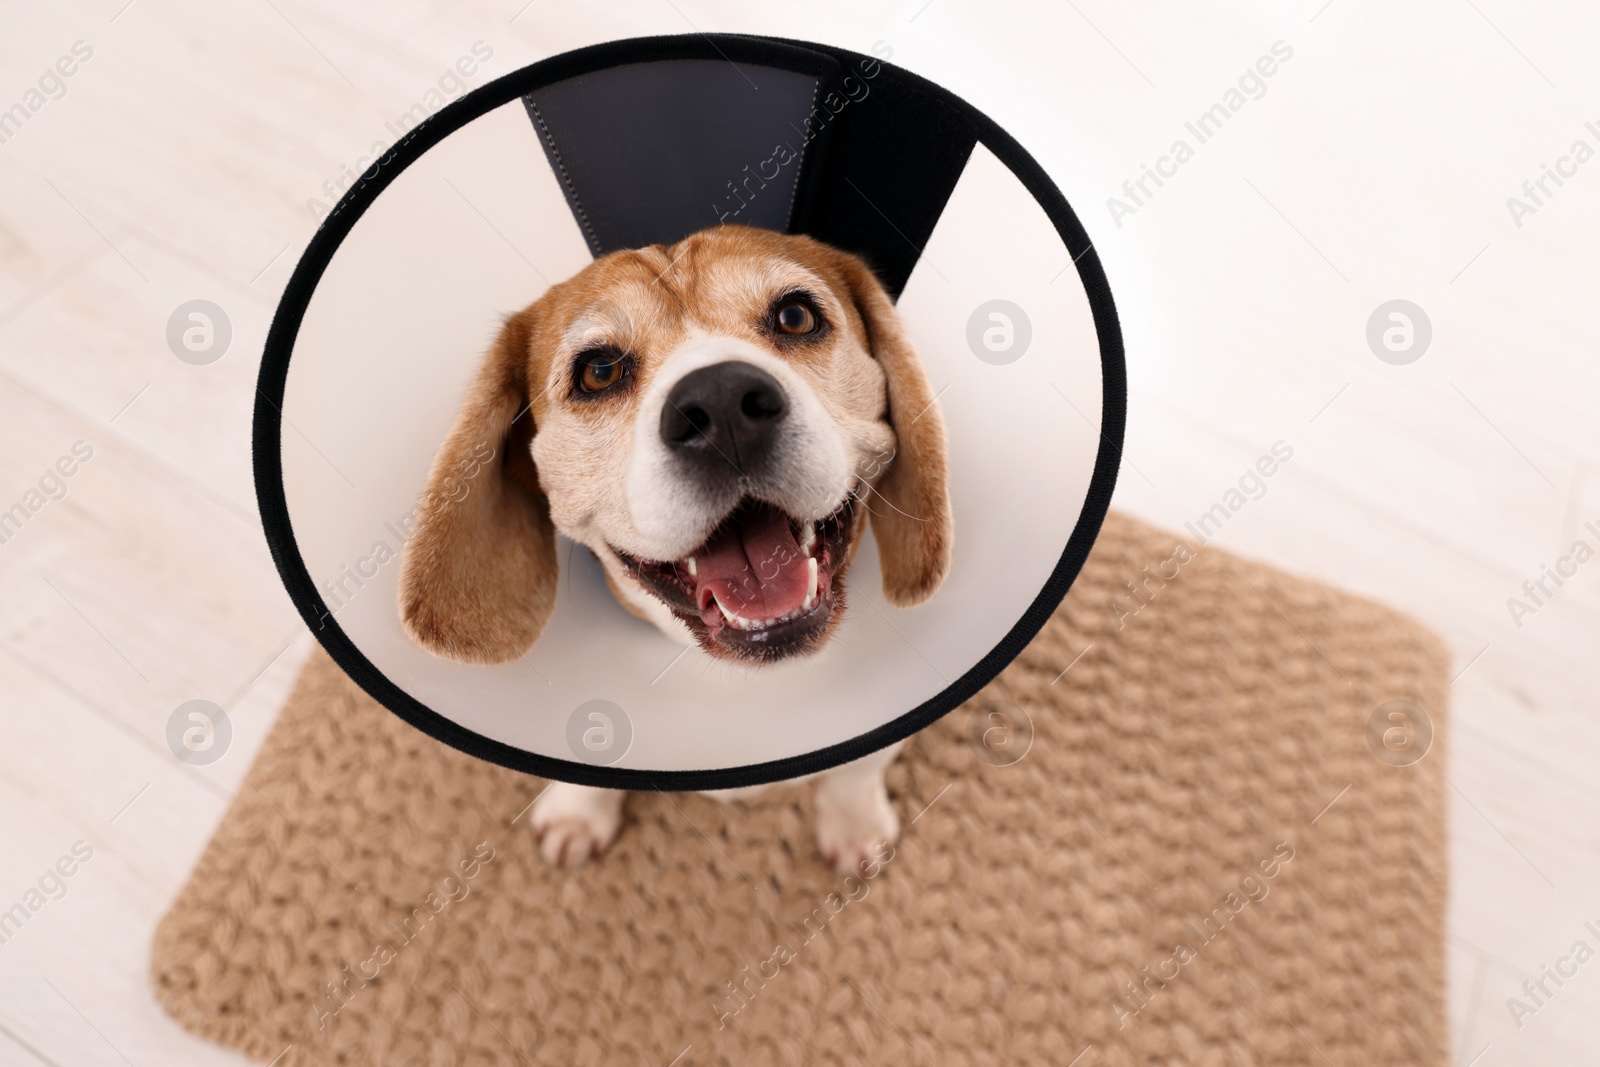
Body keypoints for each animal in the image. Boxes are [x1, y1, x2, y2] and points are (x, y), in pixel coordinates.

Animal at [400, 225, 947, 876]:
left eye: (795, 316)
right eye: (599, 371)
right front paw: (578, 812)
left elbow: (858, 767)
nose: (722, 402)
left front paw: (854, 825)